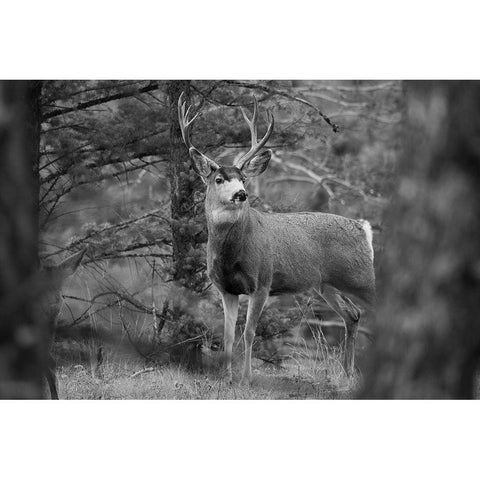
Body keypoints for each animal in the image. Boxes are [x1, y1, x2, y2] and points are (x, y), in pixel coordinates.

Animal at [178, 94, 376, 384]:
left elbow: (249, 332)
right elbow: (227, 334)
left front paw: (246, 379)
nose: (241, 194)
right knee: (352, 315)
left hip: (361, 277)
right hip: (326, 284)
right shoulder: (225, 288)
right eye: (219, 179)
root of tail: (363, 228)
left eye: (243, 178)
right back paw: (347, 373)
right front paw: (226, 377)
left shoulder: (262, 280)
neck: (231, 255)